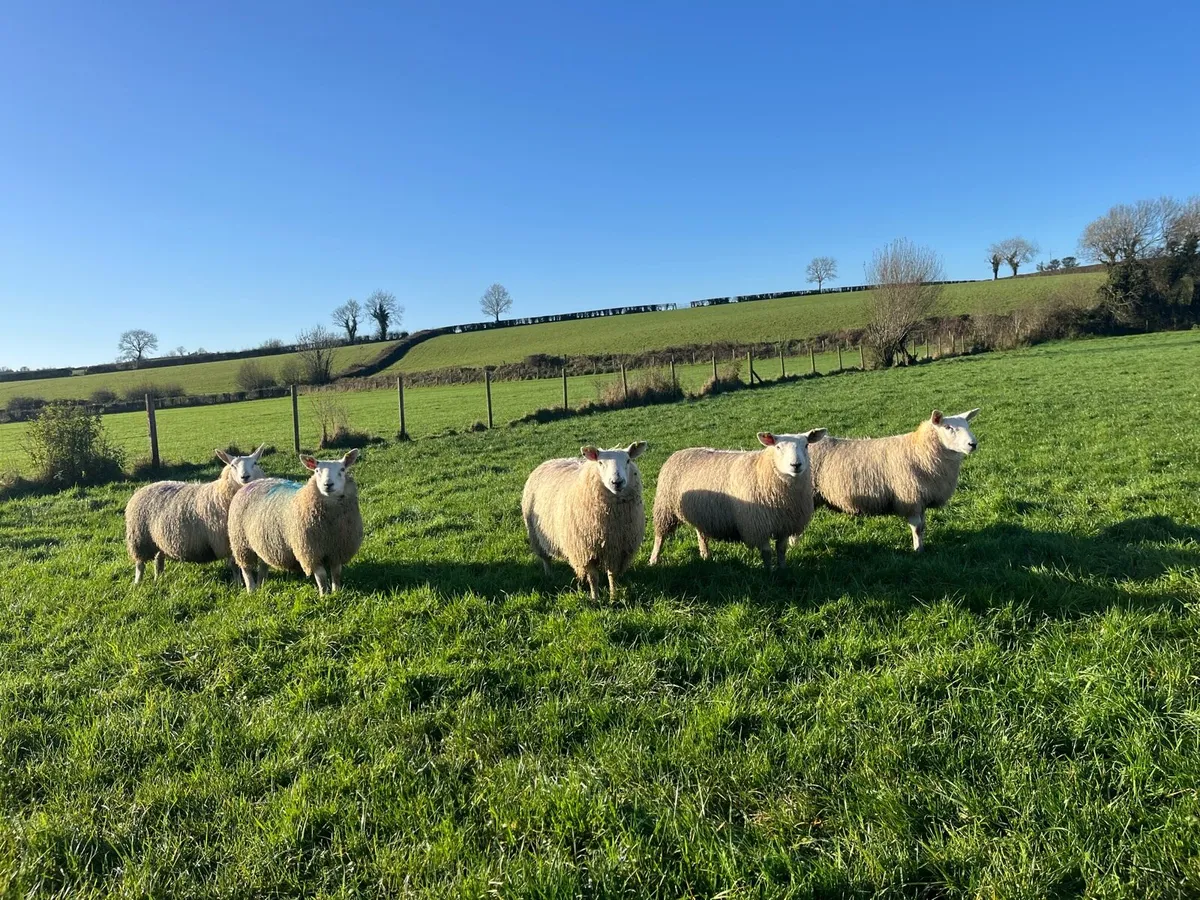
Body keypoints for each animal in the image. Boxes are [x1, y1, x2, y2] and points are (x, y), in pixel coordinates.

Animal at [124, 444, 266, 584]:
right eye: (232, 465)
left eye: (255, 463)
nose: (245, 477)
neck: (222, 494)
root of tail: (144, 487)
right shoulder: (227, 541)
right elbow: (234, 566)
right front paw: (238, 584)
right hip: (139, 538)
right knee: (140, 564)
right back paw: (138, 583)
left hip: (157, 539)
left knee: (158, 559)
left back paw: (158, 578)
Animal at [227, 450, 363, 595]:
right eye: (316, 470)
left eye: (342, 469)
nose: (328, 485)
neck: (329, 525)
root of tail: (252, 482)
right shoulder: (310, 551)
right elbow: (321, 576)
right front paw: (324, 596)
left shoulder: (338, 549)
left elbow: (336, 574)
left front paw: (337, 592)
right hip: (240, 542)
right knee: (246, 568)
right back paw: (251, 589)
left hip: (262, 541)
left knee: (263, 564)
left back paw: (261, 586)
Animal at [522, 442, 648, 599]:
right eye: (600, 463)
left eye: (628, 461)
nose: (617, 482)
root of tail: (549, 461)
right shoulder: (585, 550)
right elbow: (593, 578)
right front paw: (595, 598)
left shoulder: (616, 548)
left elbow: (612, 575)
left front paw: (613, 596)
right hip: (536, 534)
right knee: (545, 558)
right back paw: (549, 576)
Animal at [649, 430, 826, 570]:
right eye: (777, 447)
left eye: (806, 445)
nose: (796, 465)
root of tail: (678, 452)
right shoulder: (757, 525)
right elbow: (767, 553)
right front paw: (769, 571)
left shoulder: (785, 524)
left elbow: (781, 550)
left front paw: (782, 569)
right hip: (665, 508)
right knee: (660, 537)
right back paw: (653, 560)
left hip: (702, 513)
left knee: (701, 534)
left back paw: (706, 556)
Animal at [805, 408, 980, 551]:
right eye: (948, 428)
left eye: (967, 425)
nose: (973, 444)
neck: (919, 451)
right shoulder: (910, 498)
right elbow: (917, 528)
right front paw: (918, 551)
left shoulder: (921, 500)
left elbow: (922, 527)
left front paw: (922, 547)